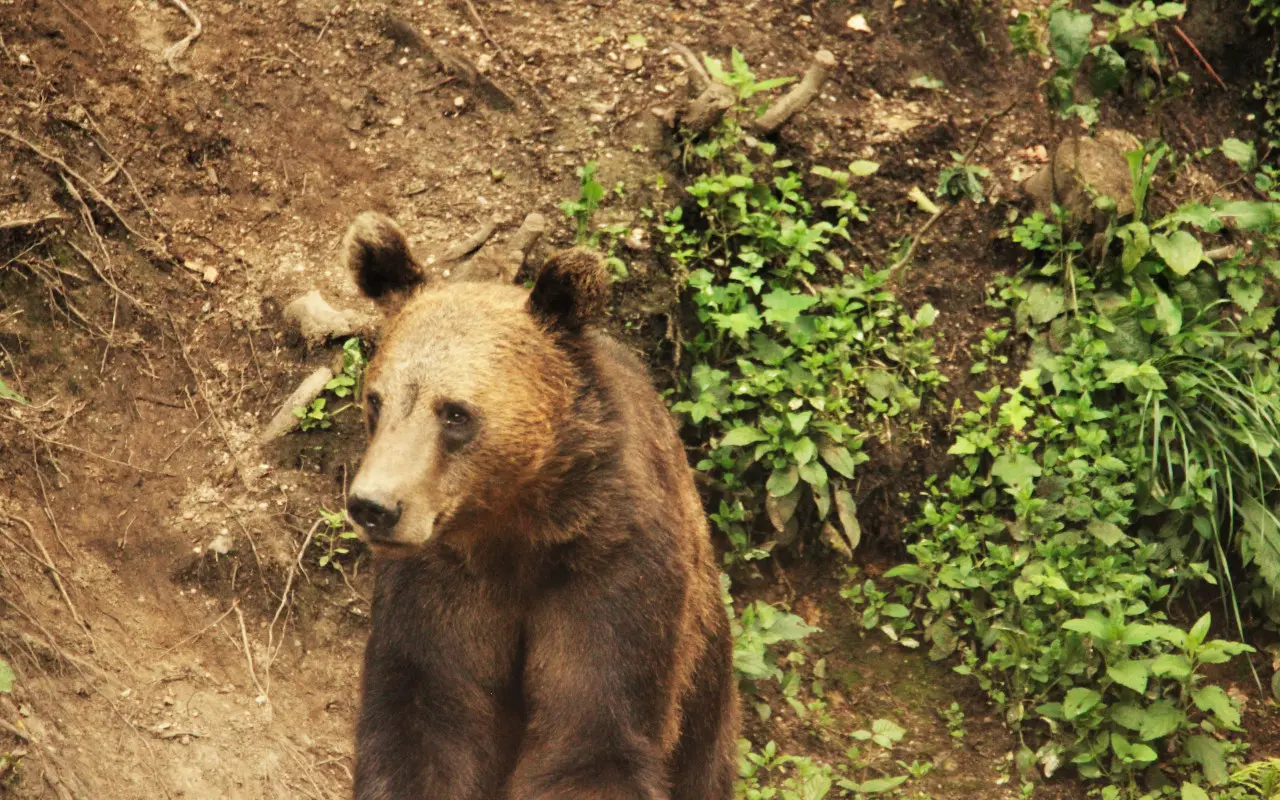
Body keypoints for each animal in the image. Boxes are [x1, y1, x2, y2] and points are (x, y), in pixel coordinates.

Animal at [340, 211, 740, 800]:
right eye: (376, 399)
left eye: (455, 413)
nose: (374, 506)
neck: (518, 529)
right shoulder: (439, 586)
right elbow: (426, 724)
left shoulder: (613, 574)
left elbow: (592, 737)